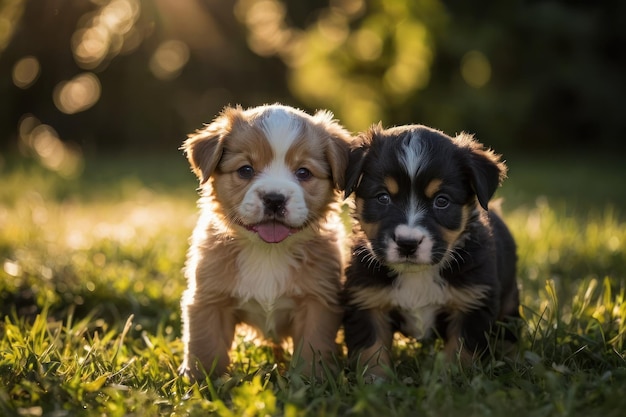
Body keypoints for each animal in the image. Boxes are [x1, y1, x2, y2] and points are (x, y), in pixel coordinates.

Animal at [180, 103, 352, 376]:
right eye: (245, 170)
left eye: (303, 172)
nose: (274, 198)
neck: (268, 252)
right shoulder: (208, 301)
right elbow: (205, 347)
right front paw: (202, 382)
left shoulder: (317, 302)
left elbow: (312, 348)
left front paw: (310, 380)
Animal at [342, 122, 516, 374]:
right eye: (383, 197)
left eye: (441, 201)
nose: (408, 243)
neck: (417, 275)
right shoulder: (366, 300)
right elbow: (371, 350)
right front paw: (375, 379)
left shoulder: (472, 303)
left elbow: (461, 352)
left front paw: (451, 377)